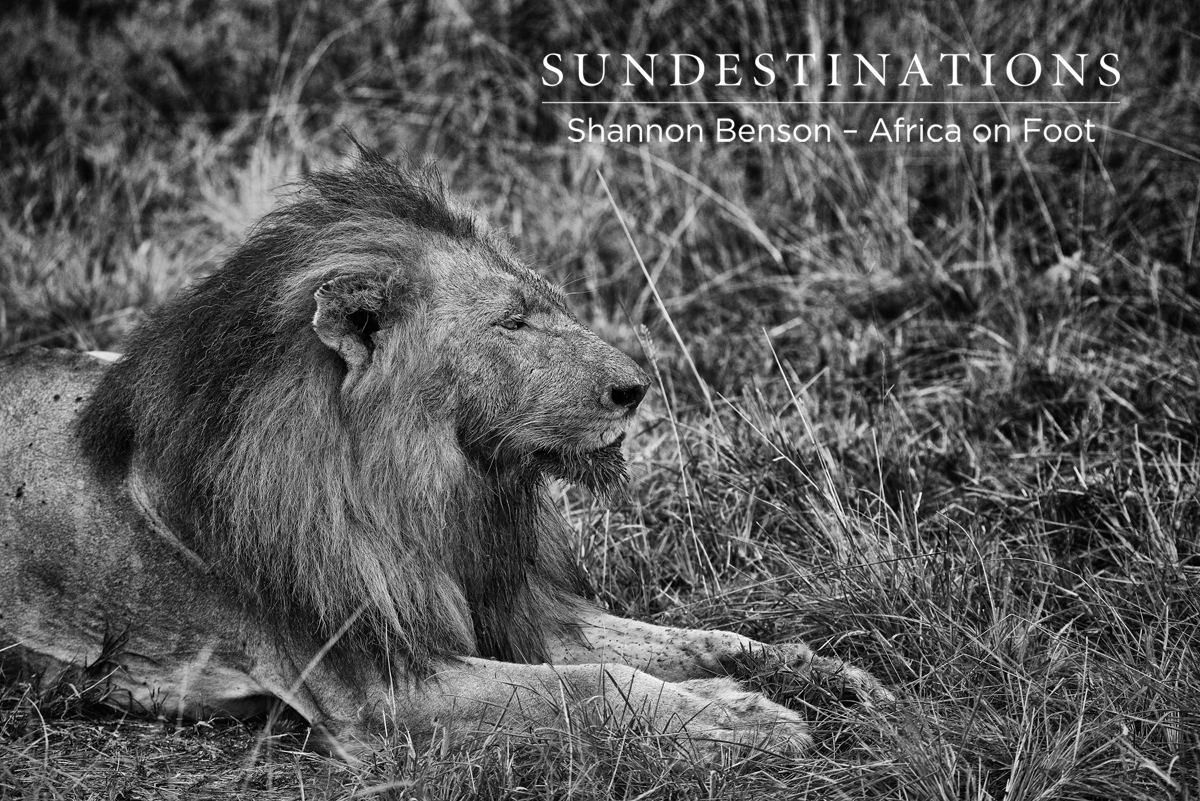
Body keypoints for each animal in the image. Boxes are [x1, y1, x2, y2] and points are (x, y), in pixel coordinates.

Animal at [0, 149, 890, 760]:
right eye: (512, 322)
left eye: (547, 305)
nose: (637, 387)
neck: (441, 488)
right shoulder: (382, 686)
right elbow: (593, 686)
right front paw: (740, 715)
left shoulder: (513, 607)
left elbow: (698, 638)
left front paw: (822, 674)